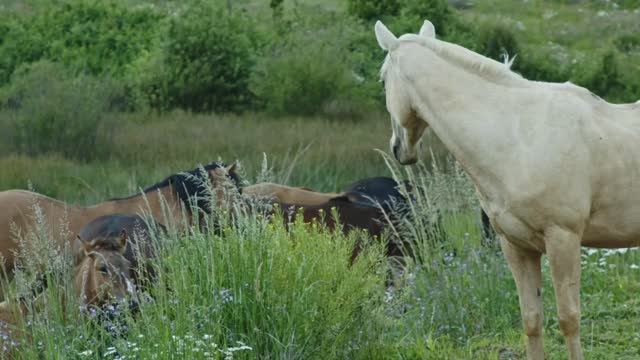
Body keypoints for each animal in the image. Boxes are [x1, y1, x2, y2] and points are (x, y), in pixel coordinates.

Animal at [372, 20, 640, 360]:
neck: (518, 136)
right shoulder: (516, 246)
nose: (398, 149)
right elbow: (531, 319)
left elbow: (569, 319)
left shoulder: (563, 239)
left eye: (383, 78)